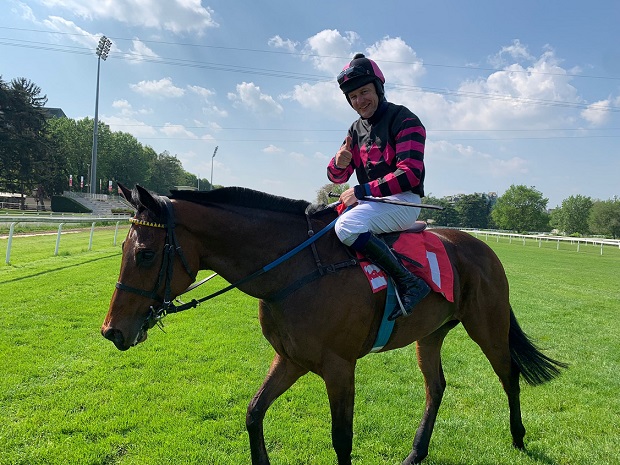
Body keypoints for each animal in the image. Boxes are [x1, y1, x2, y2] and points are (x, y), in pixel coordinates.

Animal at [101, 184, 568, 464]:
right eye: (122, 248)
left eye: (144, 253)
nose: (112, 330)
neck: (295, 269)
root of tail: (481, 247)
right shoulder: (291, 359)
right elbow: (254, 413)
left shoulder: (340, 367)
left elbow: (341, 437)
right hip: (430, 335)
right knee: (436, 387)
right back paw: (416, 452)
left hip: (487, 325)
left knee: (509, 374)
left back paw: (518, 437)